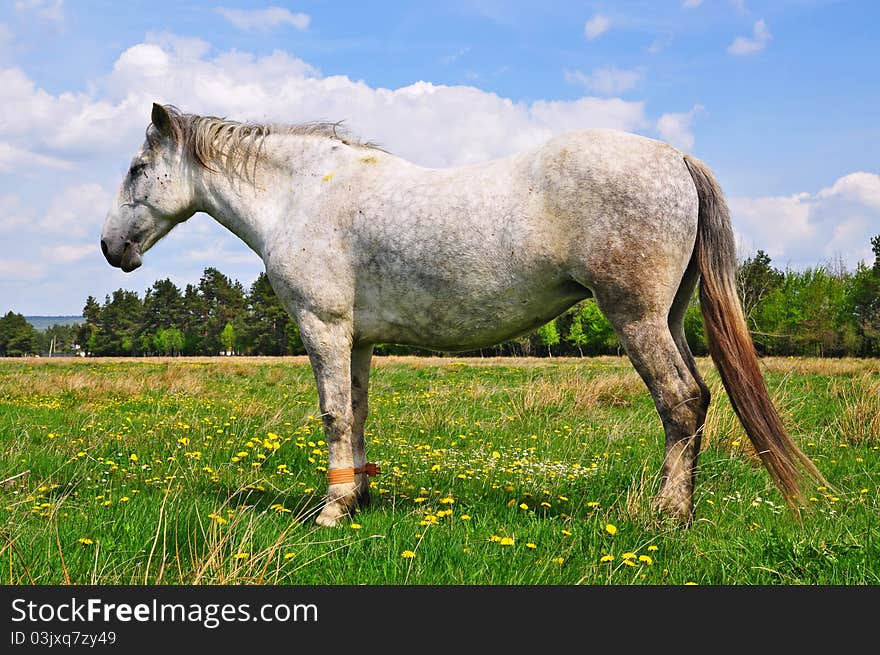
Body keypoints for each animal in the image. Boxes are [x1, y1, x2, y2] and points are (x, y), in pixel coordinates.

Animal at [103, 104, 824, 528]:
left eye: (137, 168)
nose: (112, 248)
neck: (303, 194)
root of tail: (675, 156)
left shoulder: (323, 326)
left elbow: (333, 414)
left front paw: (332, 512)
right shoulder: (358, 339)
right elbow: (357, 413)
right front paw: (358, 499)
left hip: (635, 317)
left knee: (681, 401)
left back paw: (666, 517)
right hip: (667, 316)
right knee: (694, 398)